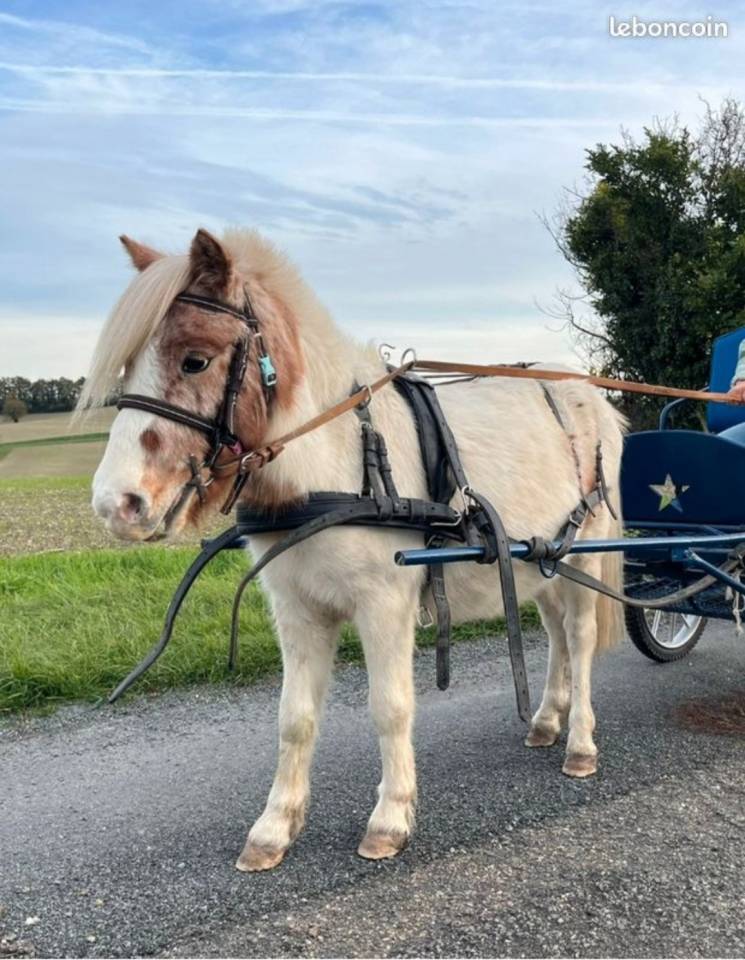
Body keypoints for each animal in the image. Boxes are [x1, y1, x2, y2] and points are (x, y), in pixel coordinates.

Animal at [81, 227, 626, 871]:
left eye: (195, 359)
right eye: (127, 368)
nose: (116, 504)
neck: (337, 460)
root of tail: (587, 391)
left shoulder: (383, 604)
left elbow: (389, 707)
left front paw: (390, 818)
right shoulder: (297, 610)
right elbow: (294, 717)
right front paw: (274, 827)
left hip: (584, 551)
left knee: (581, 639)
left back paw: (581, 742)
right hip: (540, 559)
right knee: (556, 633)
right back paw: (546, 719)